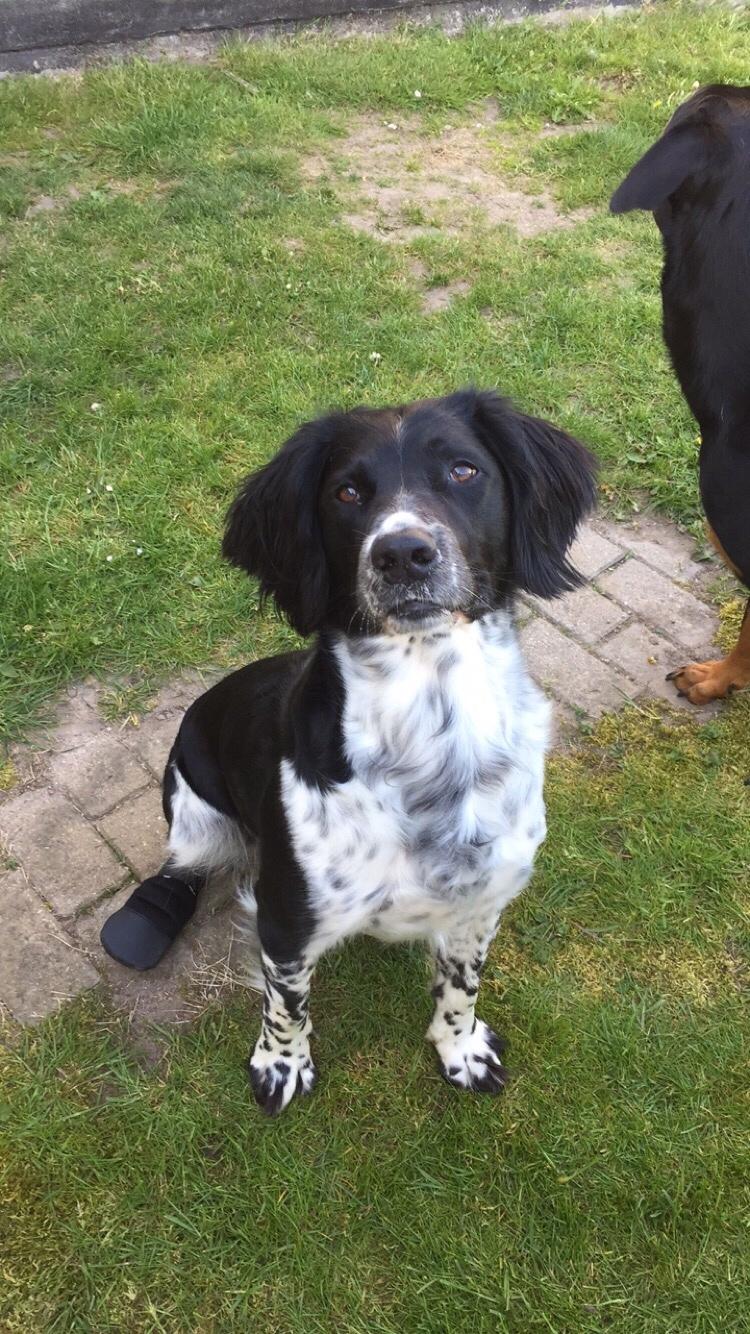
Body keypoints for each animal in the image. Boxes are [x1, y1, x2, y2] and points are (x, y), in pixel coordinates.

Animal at [100, 389, 595, 1115]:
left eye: (464, 471)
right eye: (347, 491)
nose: (403, 553)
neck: (430, 728)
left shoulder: (482, 903)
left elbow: (461, 986)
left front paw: (459, 1049)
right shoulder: (285, 921)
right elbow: (286, 1007)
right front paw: (280, 1067)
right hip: (195, 816)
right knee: (182, 865)